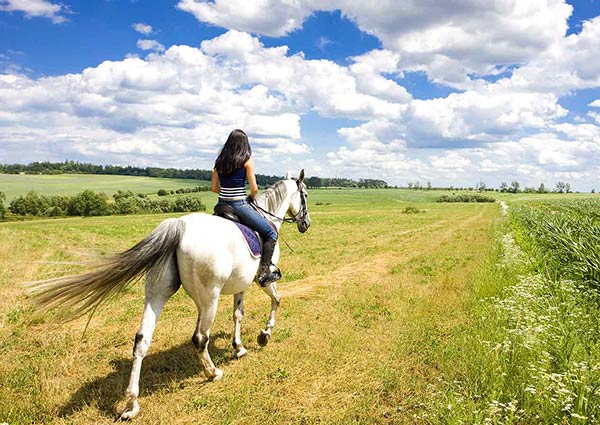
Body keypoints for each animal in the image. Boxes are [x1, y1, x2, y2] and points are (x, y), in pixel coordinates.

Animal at [25, 168, 312, 418]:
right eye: (306, 194)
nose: (306, 224)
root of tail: (180, 226)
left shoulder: (239, 285)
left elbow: (238, 315)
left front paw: (239, 347)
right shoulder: (262, 280)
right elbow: (276, 301)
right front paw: (264, 335)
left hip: (157, 293)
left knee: (141, 340)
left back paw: (131, 404)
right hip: (208, 298)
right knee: (199, 338)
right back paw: (212, 373)